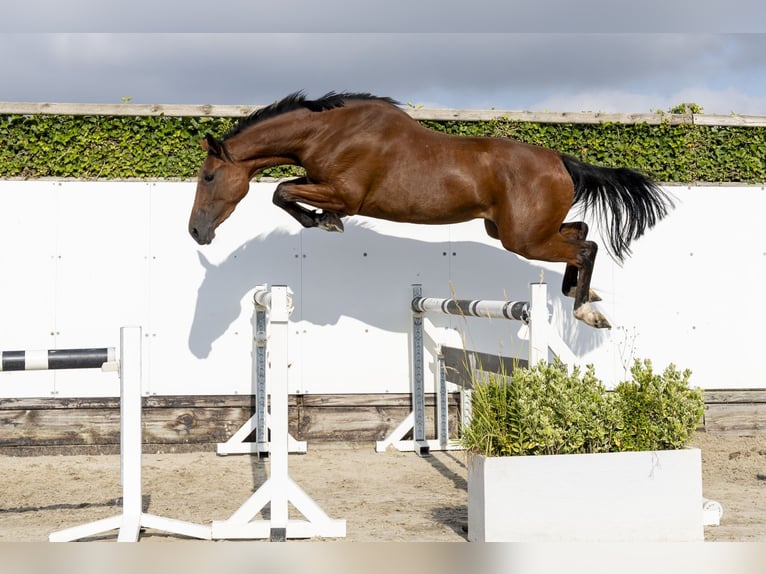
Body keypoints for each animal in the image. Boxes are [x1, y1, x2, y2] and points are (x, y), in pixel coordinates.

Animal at [188, 91, 673, 329]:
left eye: (208, 177)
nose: (196, 232)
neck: (328, 132)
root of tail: (561, 161)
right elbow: (284, 192)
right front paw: (322, 221)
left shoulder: (345, 194)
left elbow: (283, 192)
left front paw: (324, 222)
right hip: (514, 231)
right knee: (581, 231)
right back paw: (580, 292)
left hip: (524, 239)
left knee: (586, 246)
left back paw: (586, 311)